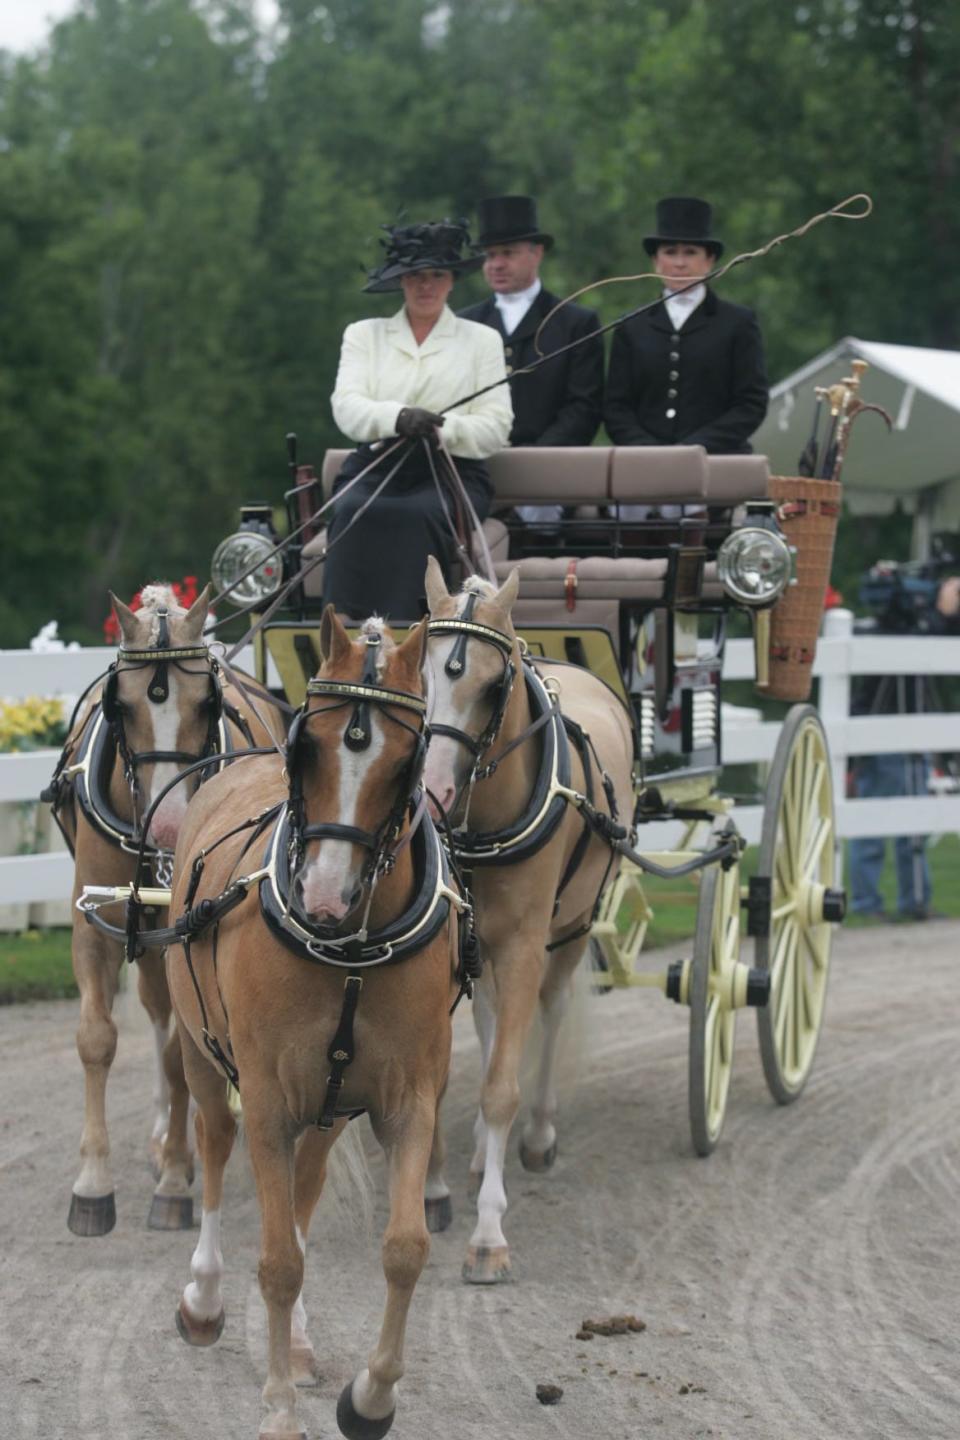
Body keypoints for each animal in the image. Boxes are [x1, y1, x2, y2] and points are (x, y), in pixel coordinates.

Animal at [48, 578, 282, 1232]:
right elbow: (96, 1038)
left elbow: (182, 1056)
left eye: (206, 704)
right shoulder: (94, 925)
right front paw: (93, 1183)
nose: (171, 828)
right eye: (121, 707)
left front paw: (177, 1178)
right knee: (154, 1011)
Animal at [164, 613, 460, 1440]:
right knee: (213, 1145)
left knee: (303, 1189)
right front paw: (276, 1411)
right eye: (311, 743)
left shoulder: (408, 1100)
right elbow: (277, 1263)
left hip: (328, 1106)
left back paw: (294, 1343)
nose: (324, 897)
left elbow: (403, 1249)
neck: (349, 951)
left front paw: (370, 1398)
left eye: (404, 759)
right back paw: (203, 1299)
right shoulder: (267, 1101)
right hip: (205, 1056)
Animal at [423, 558, 633, 1284]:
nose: (434, 794)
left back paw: (538, 1134)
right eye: (418, 671)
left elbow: (499, 1090)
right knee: (494, 1026)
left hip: (572, 924)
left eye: (493, 685)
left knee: (555, 1006)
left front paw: (489, 1235)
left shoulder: (523, 944)